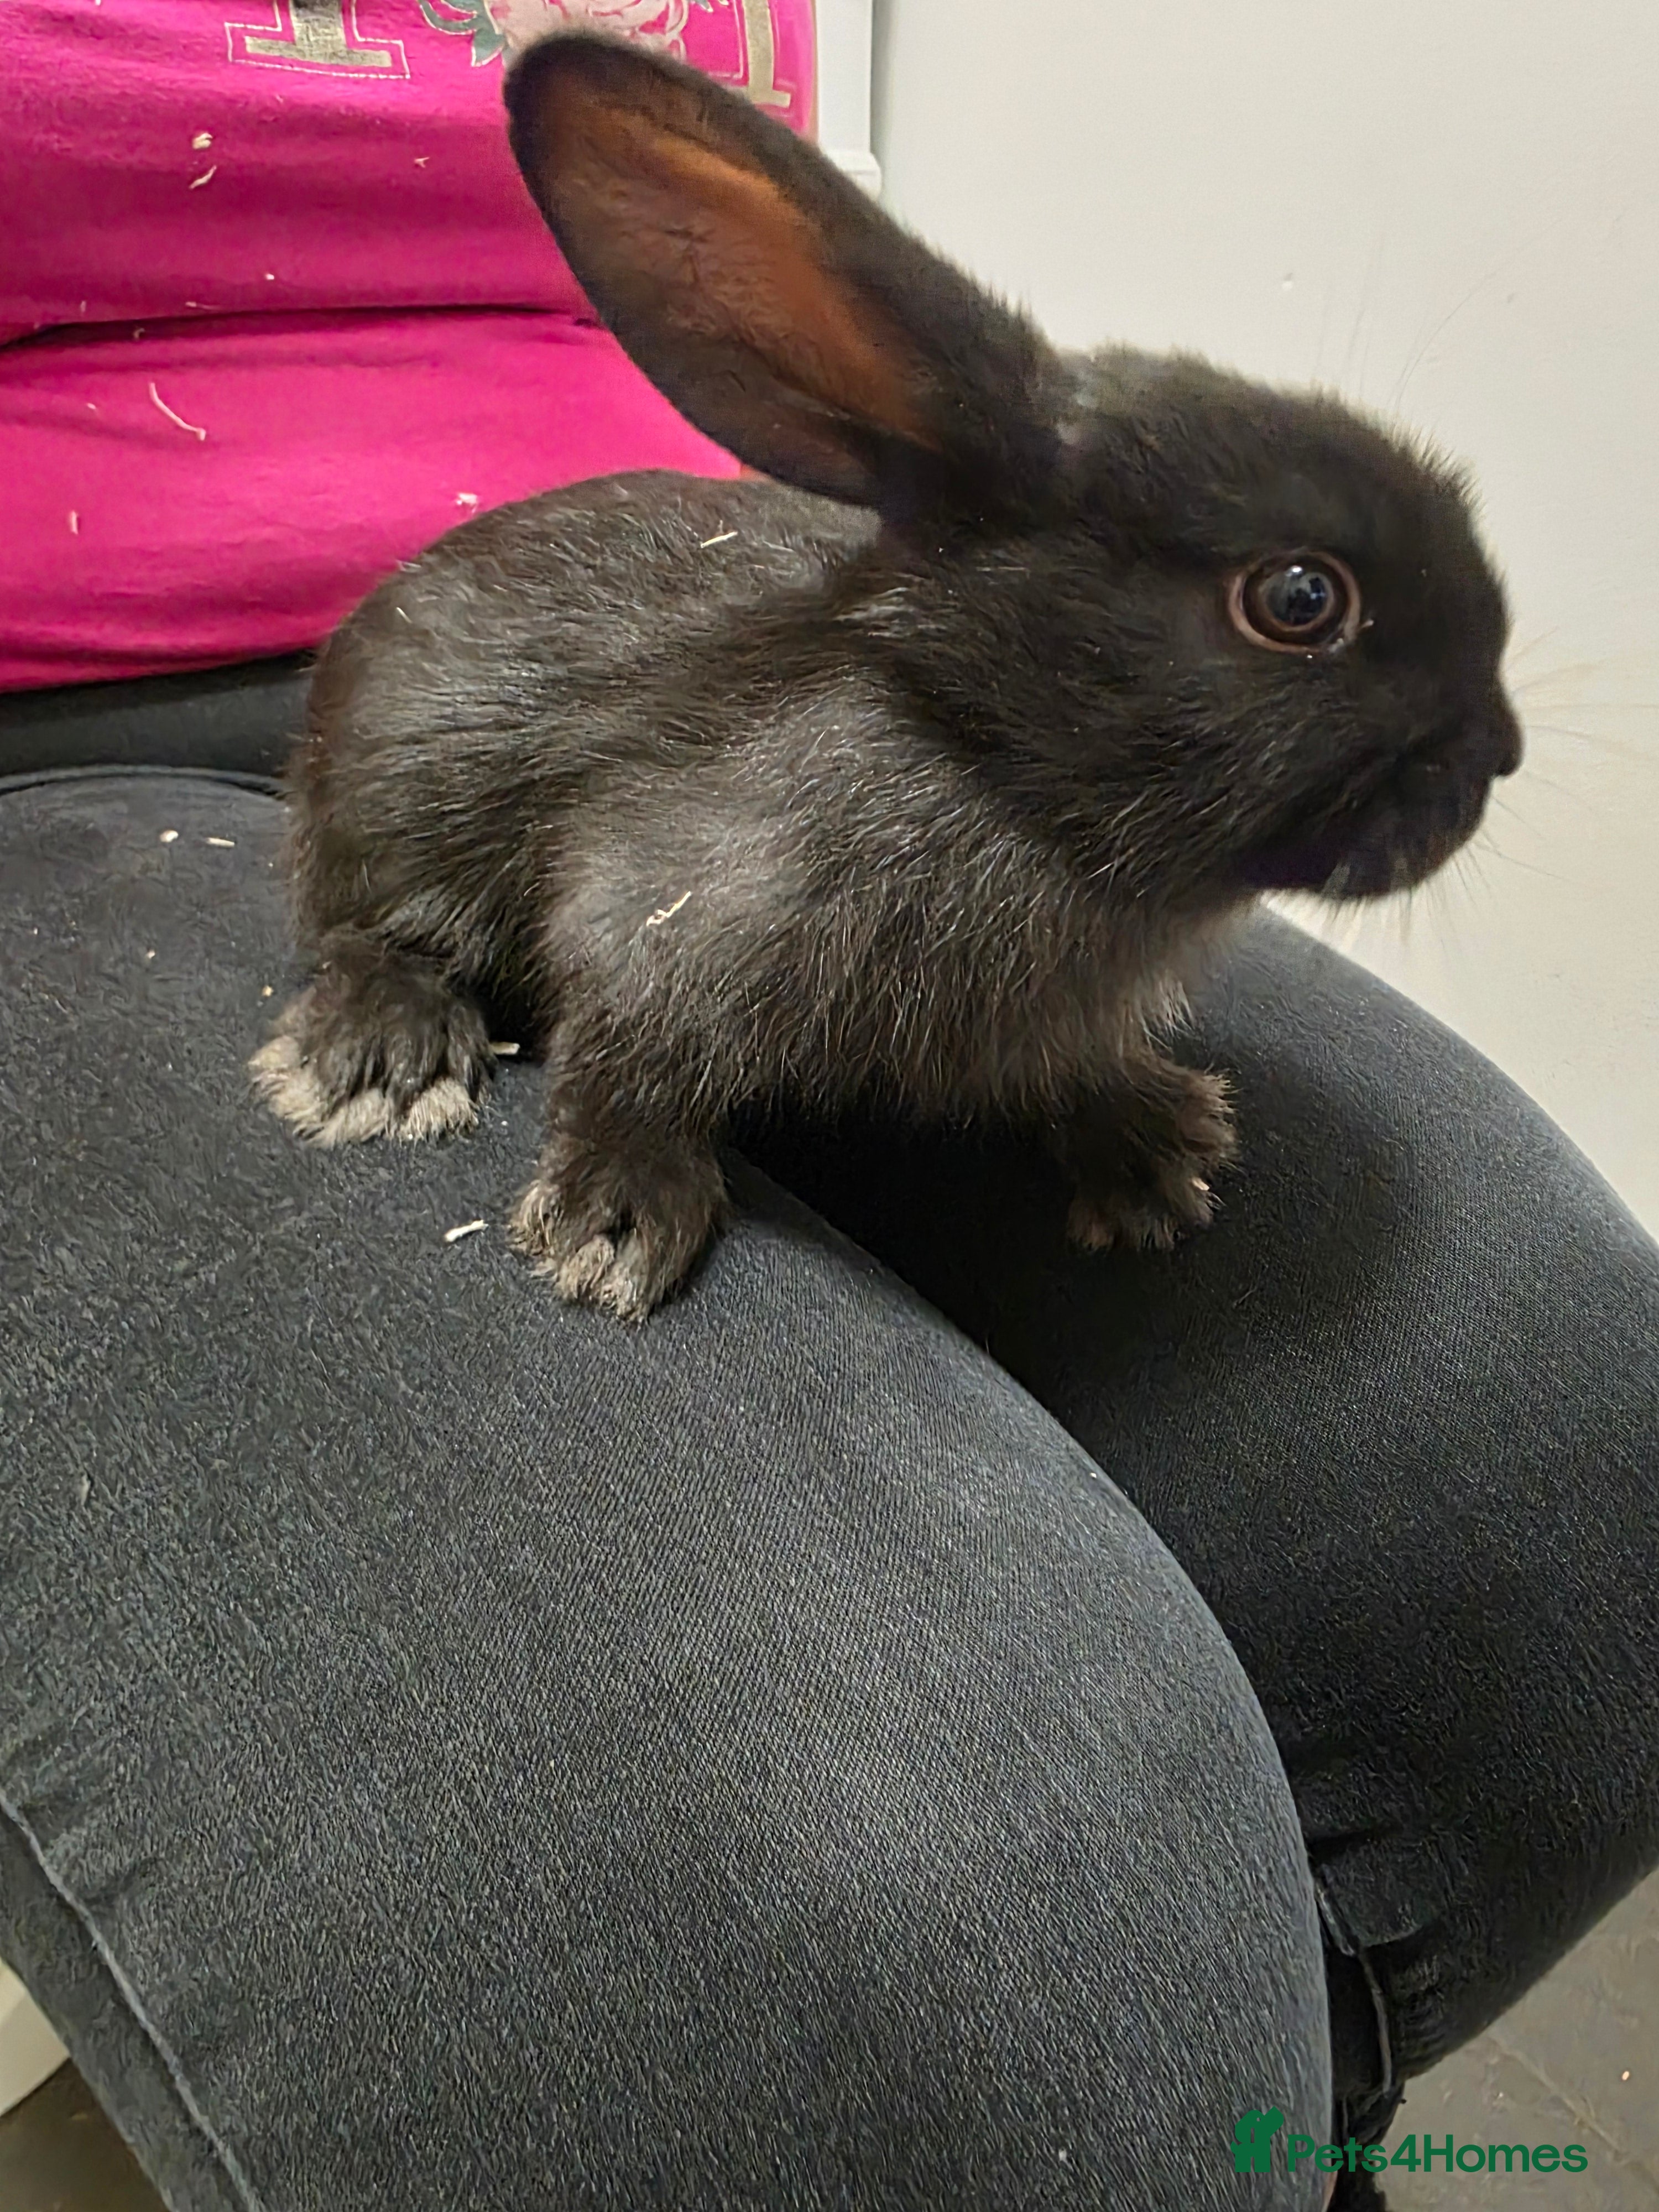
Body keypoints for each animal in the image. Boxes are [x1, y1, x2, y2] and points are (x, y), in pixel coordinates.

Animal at [250, 29, 1522, 1321]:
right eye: (1301, 600)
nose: (1497, 758)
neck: (977, 747)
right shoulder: (662, 918)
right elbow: (625, 1056)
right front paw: (617, 1219)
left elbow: (1075, 1070)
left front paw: (1159, 1150)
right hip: (394, 807)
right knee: (364, 928)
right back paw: (389, 1058)